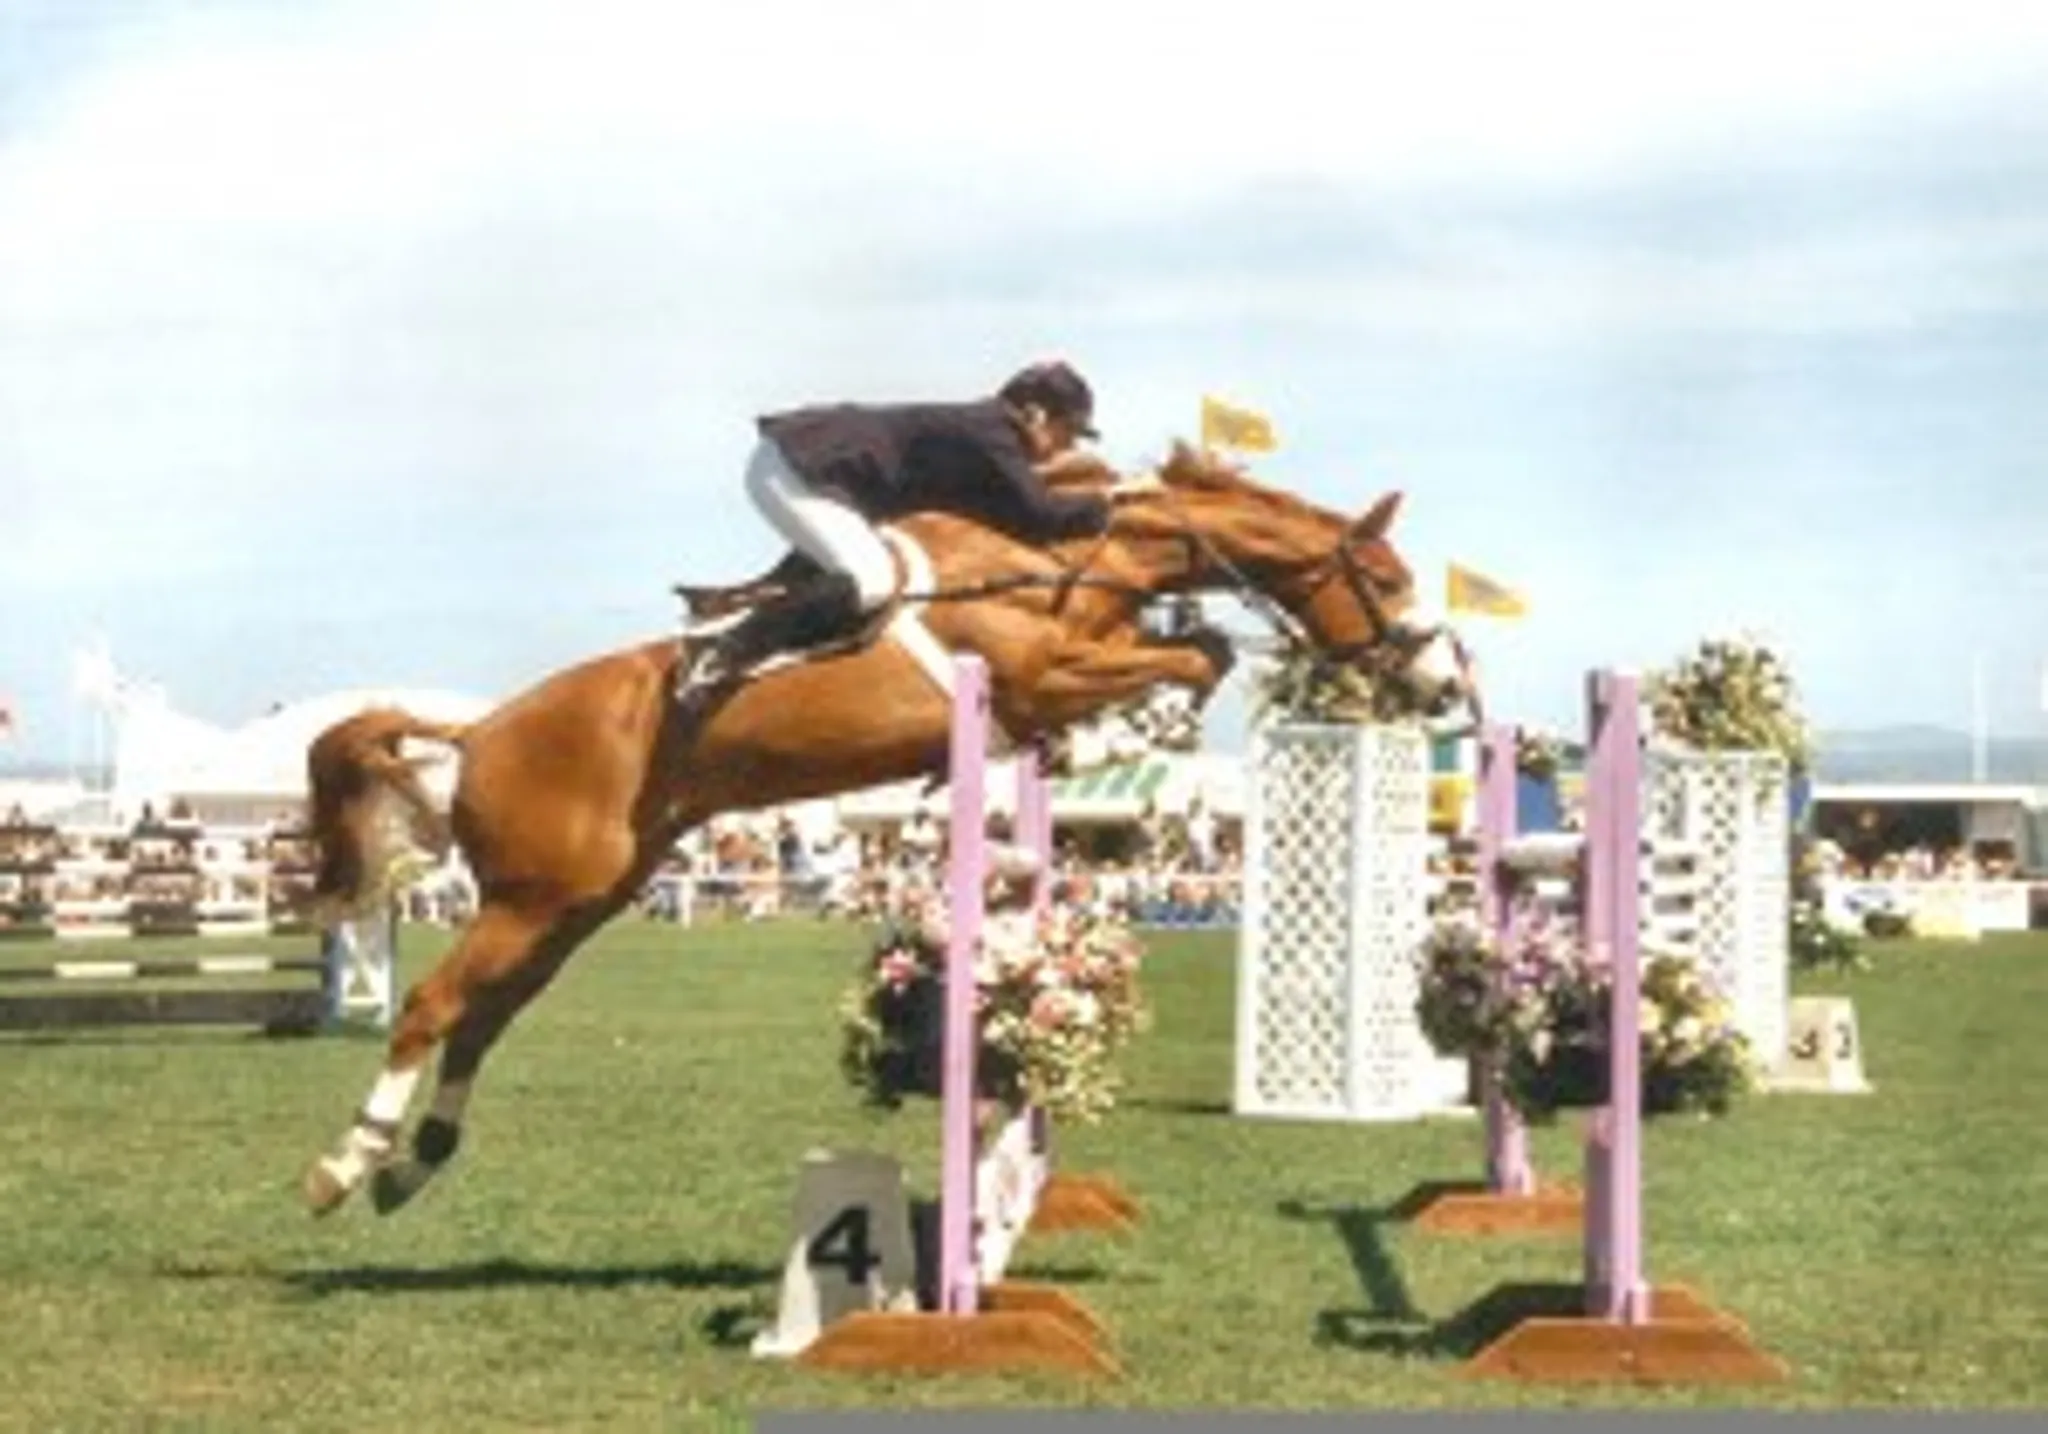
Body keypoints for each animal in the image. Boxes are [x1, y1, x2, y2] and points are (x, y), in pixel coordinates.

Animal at [298, 441, 1478, 1216]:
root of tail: (479, 730)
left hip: (576, 904)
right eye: (1381, 578)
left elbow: (1199, 653)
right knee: (431, 1008)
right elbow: (1189, 658)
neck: (1064, 560)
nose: (1440, 683)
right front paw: (1134, 733)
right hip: (532, 899)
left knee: (482, 1021)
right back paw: (345, 1163)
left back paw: (415, 1162)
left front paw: (1125, 739)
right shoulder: (1041, 671)